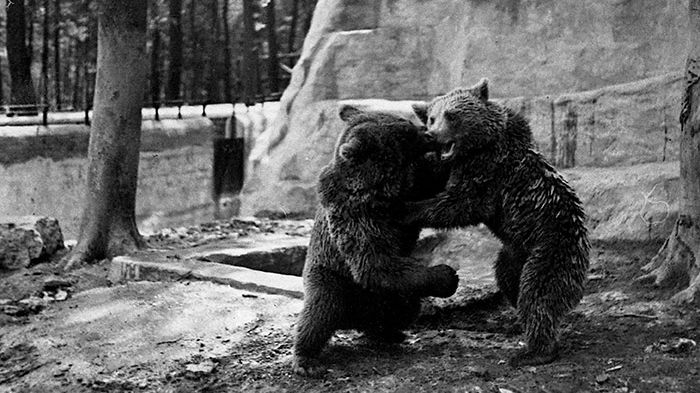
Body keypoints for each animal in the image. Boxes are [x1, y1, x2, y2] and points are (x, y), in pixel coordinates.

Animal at [294, 105, 462, 376]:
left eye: (407, 123)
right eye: (405, 133)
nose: (428, 135)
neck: (380, 190)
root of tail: (352, 320)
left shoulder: (409, 190)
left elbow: (432, 179)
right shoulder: (355, 217)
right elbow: (374, 263)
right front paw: (447, 275)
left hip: (391, 299)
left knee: (405, 308)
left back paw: (390, 333)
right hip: (332, 281)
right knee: (319, 313)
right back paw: (306, 359)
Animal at [410, 78, 592, 366]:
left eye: (451, 115)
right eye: (431, 118)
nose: (432, 135)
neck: (479, 147)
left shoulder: (490, 174)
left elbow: (460, 206)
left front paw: (409, 208)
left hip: (551, 249)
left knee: (538, 294)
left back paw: (535, 351)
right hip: (513, 252)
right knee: (508, 281)